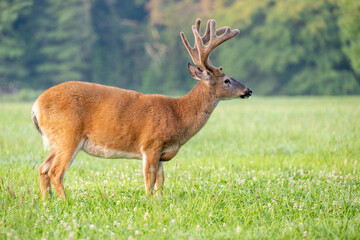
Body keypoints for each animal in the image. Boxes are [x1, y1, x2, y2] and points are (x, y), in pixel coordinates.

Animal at [31, 18, 253, 199]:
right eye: (227, 80)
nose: (248, 90)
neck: (178, 114)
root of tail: (35, 106)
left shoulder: (162, 152)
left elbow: (161, 182)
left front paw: (160, 202)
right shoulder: (150, 144)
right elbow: (149, 180)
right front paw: (149, 202)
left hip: (56, 140)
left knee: (43, 168)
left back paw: (46, 201)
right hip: (68, 135)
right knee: (55, 172)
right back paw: (65, 202)